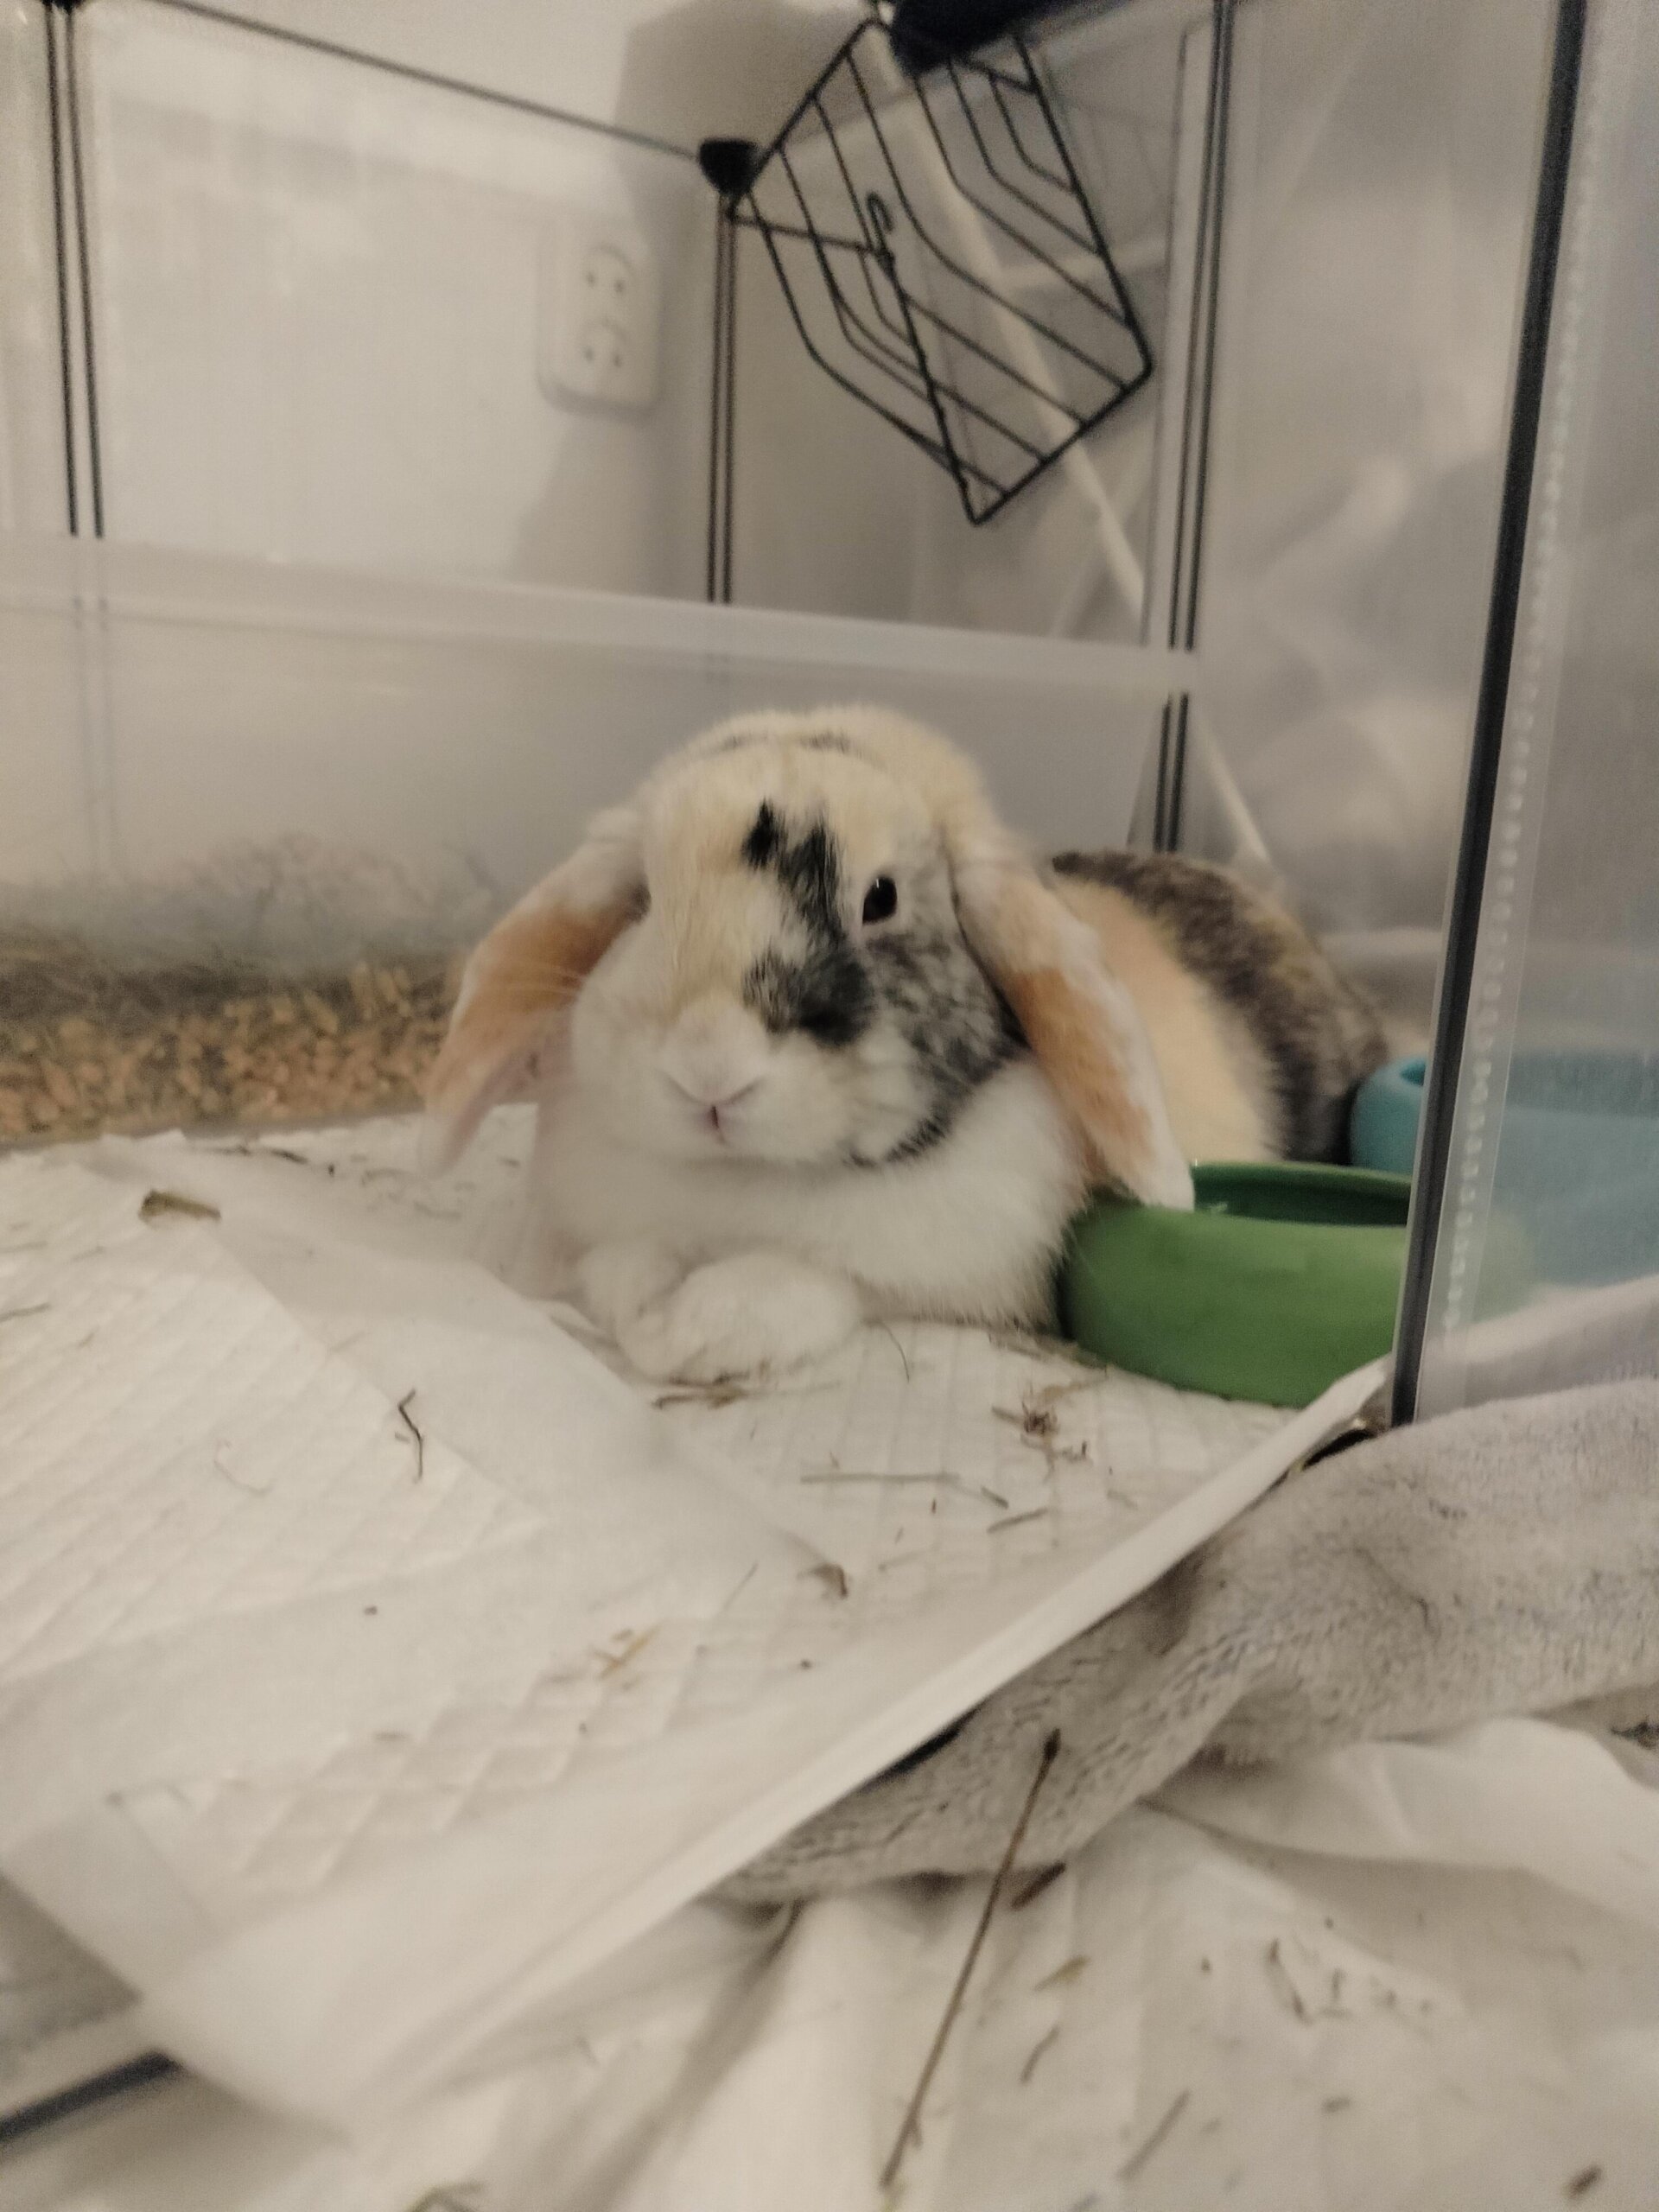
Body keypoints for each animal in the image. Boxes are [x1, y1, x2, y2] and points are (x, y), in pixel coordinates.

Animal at [423, 707, 1386, 1384]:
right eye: (646, 899)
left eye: (880, 899)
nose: (709, 1069)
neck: (751, 1179)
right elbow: (622, 1261)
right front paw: (639, 1303)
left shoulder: (935, 1269)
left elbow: (809, 1281)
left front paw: (692, 1331)